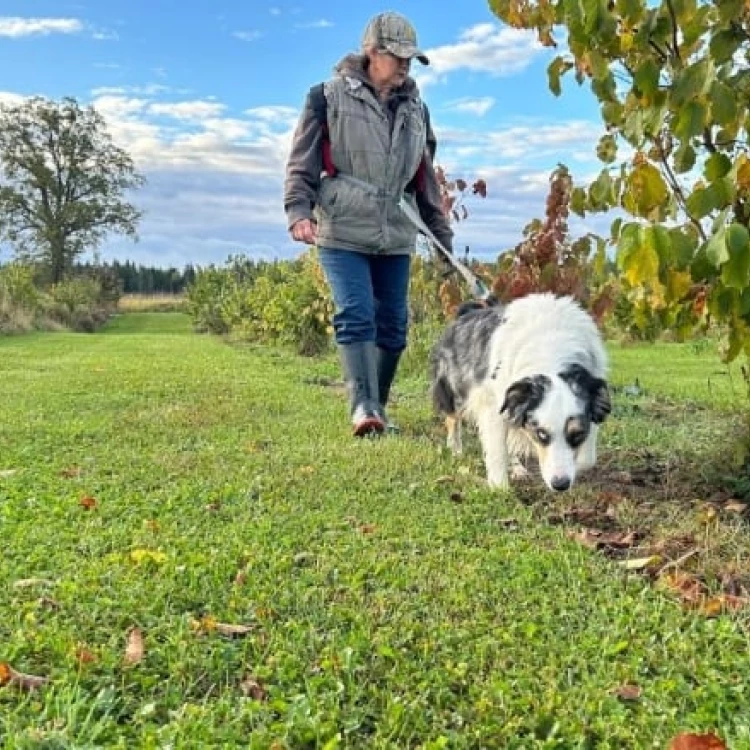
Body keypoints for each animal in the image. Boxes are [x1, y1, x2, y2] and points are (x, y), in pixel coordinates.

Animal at [432, 294, 612, 494]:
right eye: (541, 434)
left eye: (577, 434)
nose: (560, 484)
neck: (549, 348)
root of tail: (466, 312)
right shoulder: (493, 403)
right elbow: (497, 449)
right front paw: (499, 488)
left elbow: (588, 458)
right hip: (453, 388)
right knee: (452, 419)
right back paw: (455, 449)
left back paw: (517, 468)